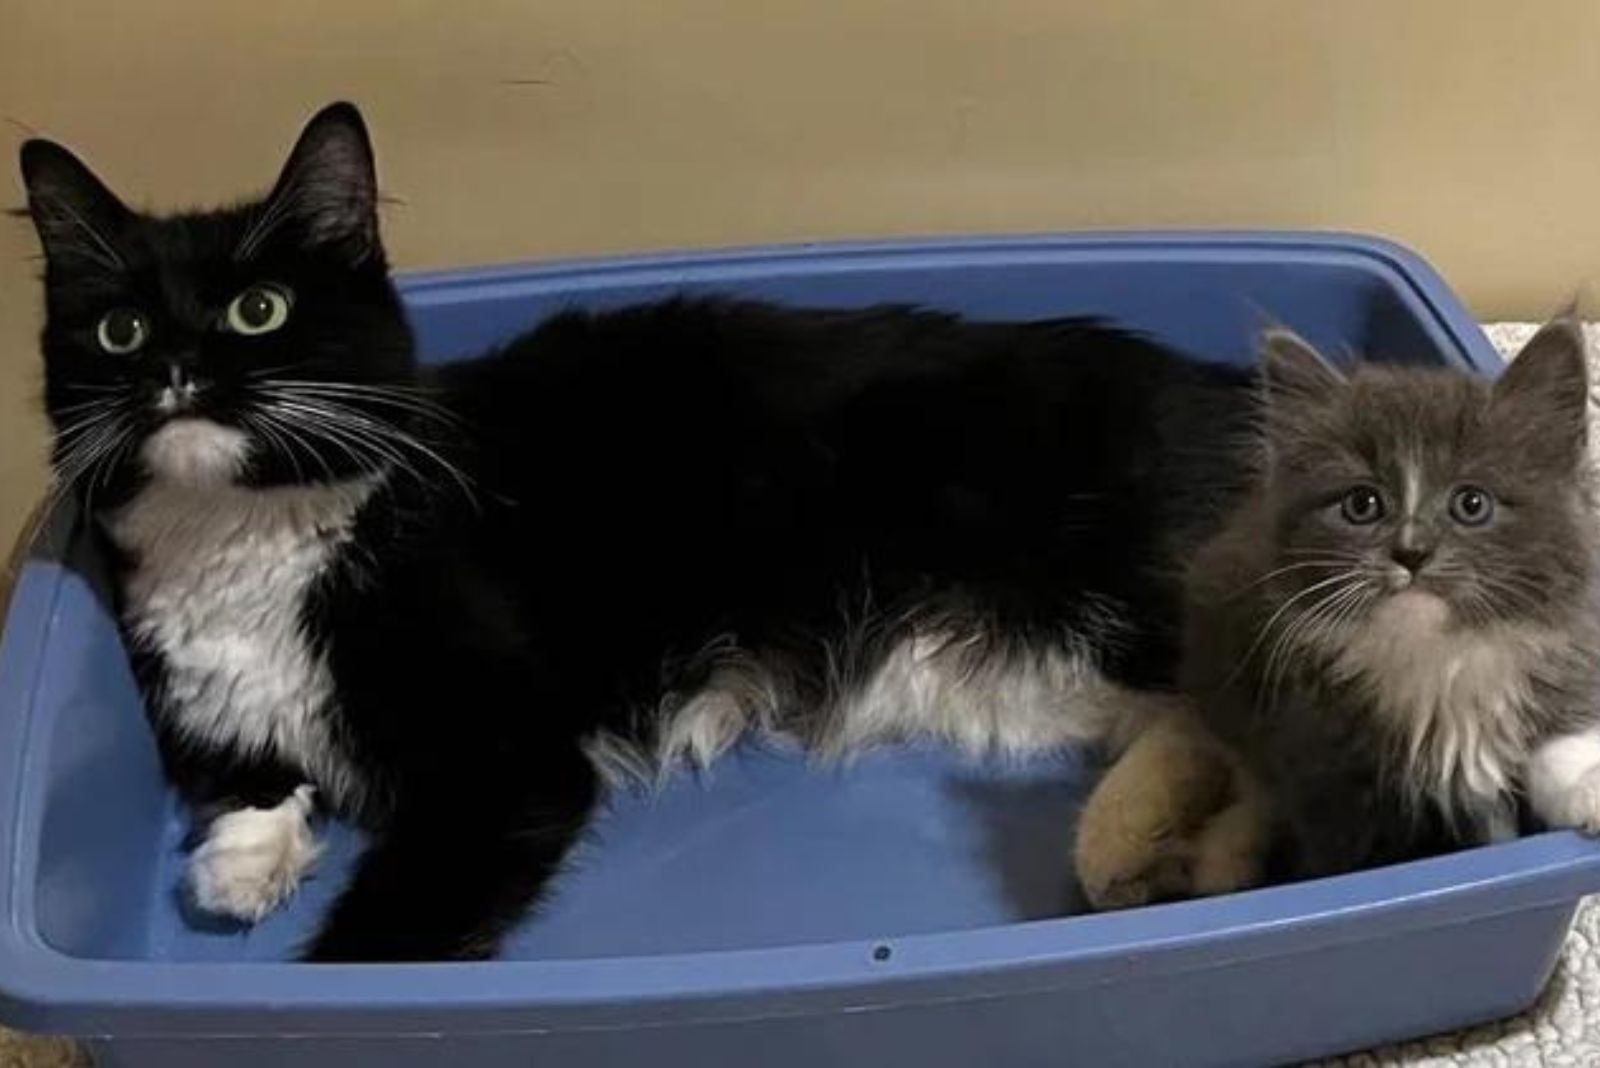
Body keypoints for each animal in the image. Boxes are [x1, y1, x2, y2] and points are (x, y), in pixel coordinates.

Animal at [1184, 321, 1600, 882]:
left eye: (1471, 503)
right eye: (1362, 504)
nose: (1412, 552)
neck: (1438, 662)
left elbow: (1557, 741)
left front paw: (1587, 789)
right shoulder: (1325, 770)